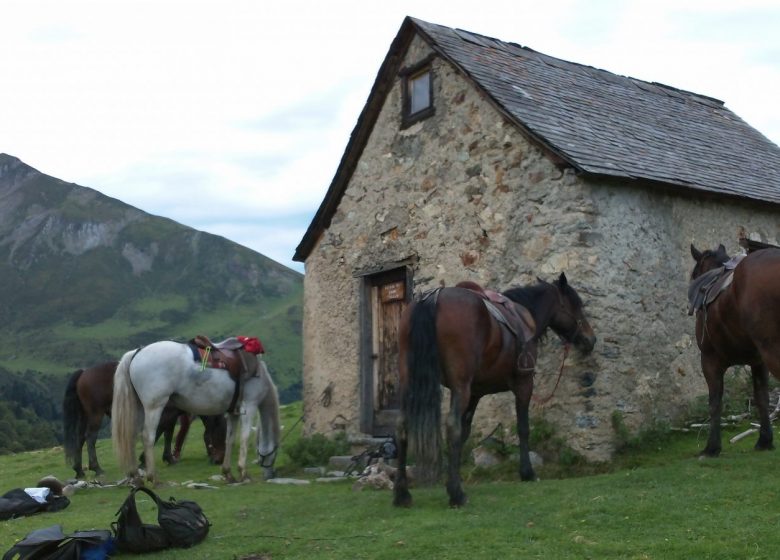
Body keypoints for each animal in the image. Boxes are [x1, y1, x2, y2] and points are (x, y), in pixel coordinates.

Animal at [63, 364, 225, 476]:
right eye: (221, 434)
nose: (217, 460)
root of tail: (84, 372)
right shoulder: (167, 414)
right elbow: (161, 433)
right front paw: (147, 459)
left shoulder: (170, 416)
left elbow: (166, 434)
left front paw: (165, 458)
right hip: (96, 414)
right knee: (90, 437)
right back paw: (96, 468)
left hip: (85, 415)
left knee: (80, 438)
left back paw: (79, 470)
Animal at [109, 340, 280, 484]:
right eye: (275, 452)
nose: (270, 475)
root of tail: (137, 352)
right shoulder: (250, 405)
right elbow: (244, 437)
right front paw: (244, 473)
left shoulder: (233, 412)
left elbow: (230, 440)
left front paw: (228, 473)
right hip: (154, 407)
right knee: (148, 437)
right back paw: (153, 478)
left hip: (138, 408)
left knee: (131, 436)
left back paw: (136, 476)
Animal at [394, 272, 596, 508]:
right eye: (577, 305)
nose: (590, 339)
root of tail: (433, 298)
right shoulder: (524, 383)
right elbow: (522, 428)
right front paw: (527, 472)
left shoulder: (474, 393)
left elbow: (465, 433)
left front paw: (453, 477)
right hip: (460, 386)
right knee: (451, 426)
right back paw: (456, 495)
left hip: (410, 384)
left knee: (402, 426)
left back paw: (402, 493)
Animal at [688, 244, 780, 456]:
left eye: (694, 273)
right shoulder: (758, 362)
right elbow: (761, 397)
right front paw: (765, 440)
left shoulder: (709, 360)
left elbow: (715, 402)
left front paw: (711, 447)